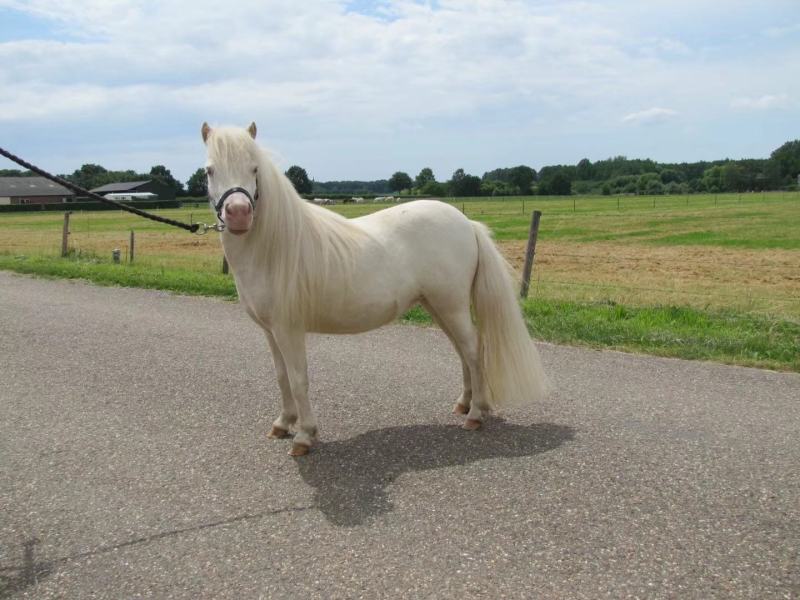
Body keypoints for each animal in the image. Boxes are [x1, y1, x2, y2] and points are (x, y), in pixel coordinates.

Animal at [201, 122, 551, 456]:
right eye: (209, 170)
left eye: (254, 168)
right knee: (463, 351)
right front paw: (282, 423)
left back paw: (476, 415)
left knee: (474, 351)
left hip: (450, 305)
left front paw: (304, 436)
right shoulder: (270, 331)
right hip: (439, 307)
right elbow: (282, 377)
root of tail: (467, 224)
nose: (238, 214)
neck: (274, 248)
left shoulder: (289, 330)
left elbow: (299, 380)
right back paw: (465, 405)